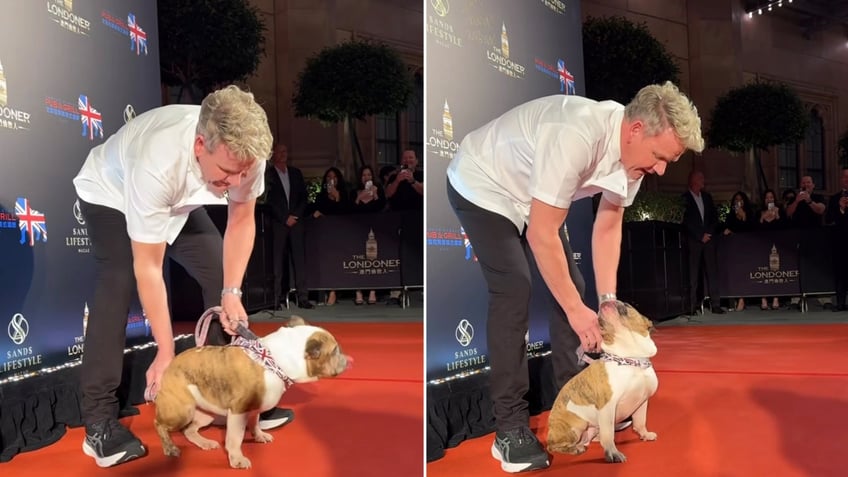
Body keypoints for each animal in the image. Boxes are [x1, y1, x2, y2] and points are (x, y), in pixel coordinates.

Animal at [154, 316, 350, 468]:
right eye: (335, 351)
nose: (347, 359)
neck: (274, 361)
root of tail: (169, 367)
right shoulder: (238, 411)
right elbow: (235, 438)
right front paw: (237, 459)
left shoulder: (255, 408)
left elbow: (255, 423)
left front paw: (259, 436)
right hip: (182, 410)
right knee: (160, 424)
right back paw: (170, 448)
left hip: (205, 413)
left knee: (189, 430)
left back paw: (205, 443)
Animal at [548, 302, 660, 462]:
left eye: (626, 305)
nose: (607, 301)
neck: (631, 359)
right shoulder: (607, 407)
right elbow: (609, 435)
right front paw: (612, 453)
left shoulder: (642, 402)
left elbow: (640, 421)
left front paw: (644, 434)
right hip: (577, 425)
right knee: (553, 446)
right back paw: (575, 449)